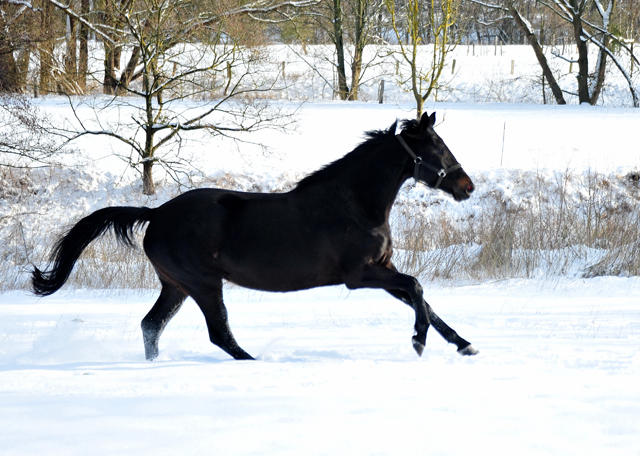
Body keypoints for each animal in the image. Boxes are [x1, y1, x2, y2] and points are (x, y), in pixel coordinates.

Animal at [32, 113, 478, 360]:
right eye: (437, 147)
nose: (467, 186)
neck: (355, 204)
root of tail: (156, 214)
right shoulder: (362, 275)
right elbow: (417, 288)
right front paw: (419, 342)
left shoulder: (382, 270)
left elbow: (424, 300)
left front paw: (463, 344)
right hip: (203, 283)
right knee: (218, 333)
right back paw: (254, 362)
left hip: (176, 285)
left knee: (151, 326)